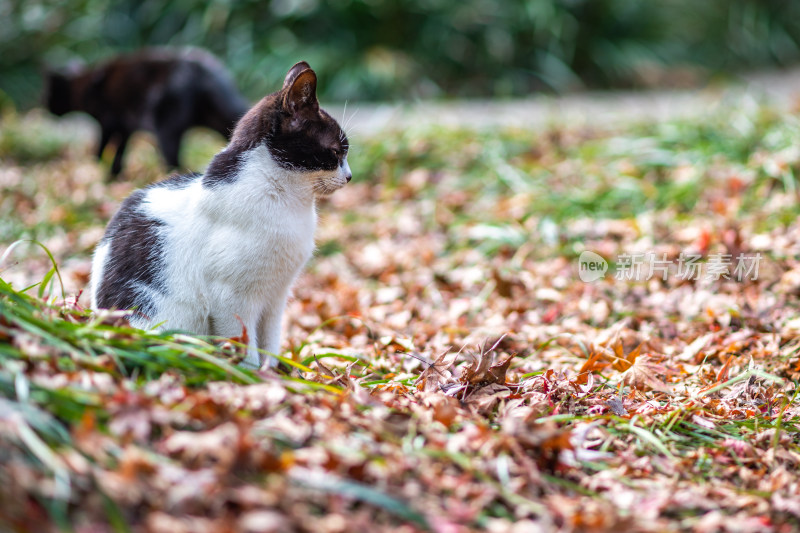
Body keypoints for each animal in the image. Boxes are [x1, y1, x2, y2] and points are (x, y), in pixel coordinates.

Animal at [90, 62, 350, 368]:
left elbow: (270, 342)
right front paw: (252, 373)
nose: (349, 176)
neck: (289, 201)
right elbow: (245, 346)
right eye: (336, 152)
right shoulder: (231, 299)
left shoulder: (276, 296)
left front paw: (273, 371)